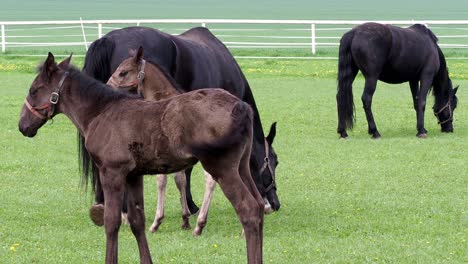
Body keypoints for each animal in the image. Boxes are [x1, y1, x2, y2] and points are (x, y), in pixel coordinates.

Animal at [18, 52, 266, 264]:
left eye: (34, 90)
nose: (22, 125)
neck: (100, 113)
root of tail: (241, 106)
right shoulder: (133, 176)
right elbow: (137, 221)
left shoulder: (112, 172)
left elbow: (112, 221)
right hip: (241, 167)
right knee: (260, 206)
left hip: (222, 167)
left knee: (248, 210)